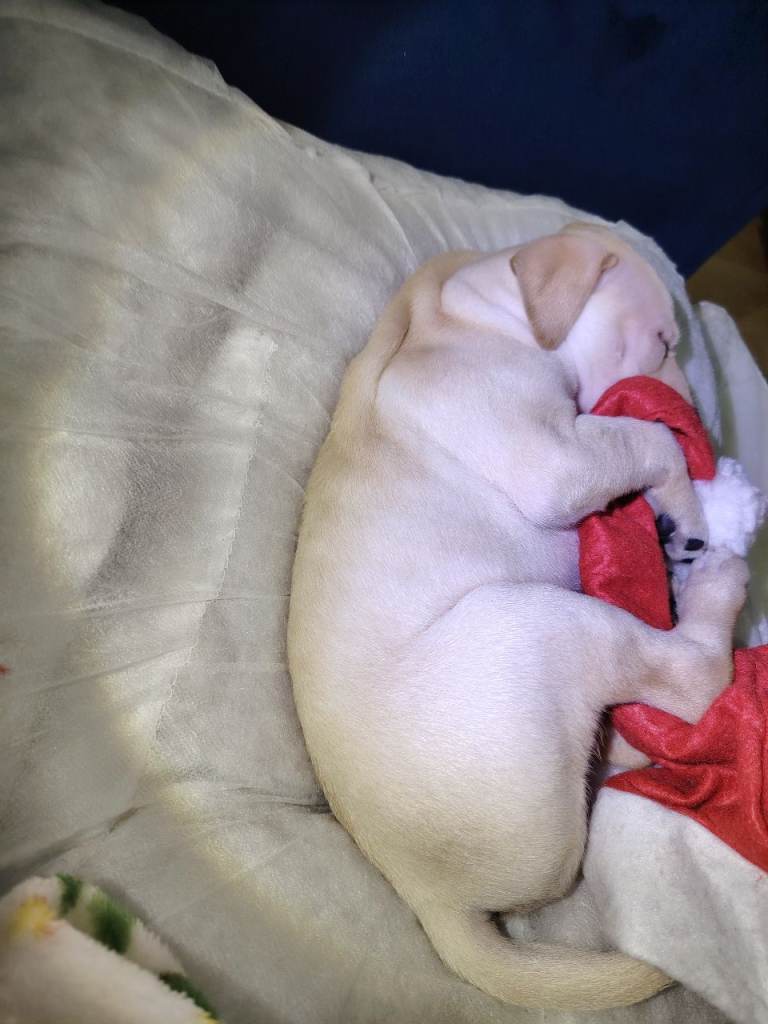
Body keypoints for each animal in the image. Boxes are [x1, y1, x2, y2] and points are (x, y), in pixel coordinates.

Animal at [287, 223, 748, 1011]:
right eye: (662, 341)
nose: (711, 443)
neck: (474, 311)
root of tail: (429, 898)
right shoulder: (552, 458)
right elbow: (644, 440)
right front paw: (687, 511)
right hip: (536, 627)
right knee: (693, 680)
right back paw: (719, 584)